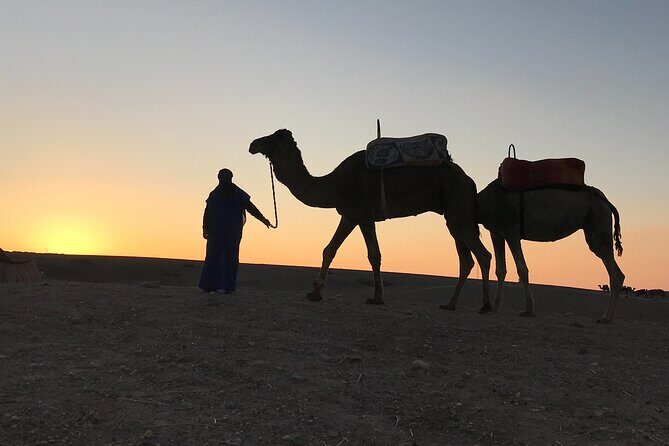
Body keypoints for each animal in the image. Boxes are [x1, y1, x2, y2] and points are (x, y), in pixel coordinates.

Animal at [249, 129, 492, 312]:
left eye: (275, 137)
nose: (253, 143)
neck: (334, 184)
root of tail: (469, 180)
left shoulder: (361, 214)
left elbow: (372, 254)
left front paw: (376, 297)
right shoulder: (351, 215)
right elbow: (331, 249)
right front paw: (315, 291)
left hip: (458, 206)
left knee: (483, 255)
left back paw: (485, 305)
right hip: (453, 215)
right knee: (466, 259)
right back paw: (450, 303)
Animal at [475, 178, 625, 323]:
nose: (484, 308)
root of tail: (604, 199)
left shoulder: (511, 232)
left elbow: (522, 269)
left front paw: (529, 310)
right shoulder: (496, 232)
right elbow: (500, 270)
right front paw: (495, 308)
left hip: (599, 218)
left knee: (613, 269)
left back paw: (607, 317)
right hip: (593, 225)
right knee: (611, 264)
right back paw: (608, 316)